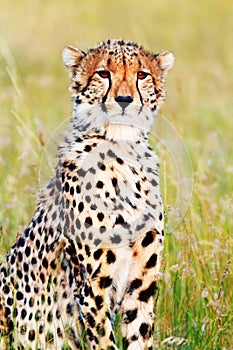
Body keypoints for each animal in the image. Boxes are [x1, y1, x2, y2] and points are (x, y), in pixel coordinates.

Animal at [0, 39, 174, 348]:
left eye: (141, 75)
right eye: (103, 73)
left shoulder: (141, 282)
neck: (122, 150)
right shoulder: (93, 286)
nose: (124, 100)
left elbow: (139, 334)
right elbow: (104, 340)